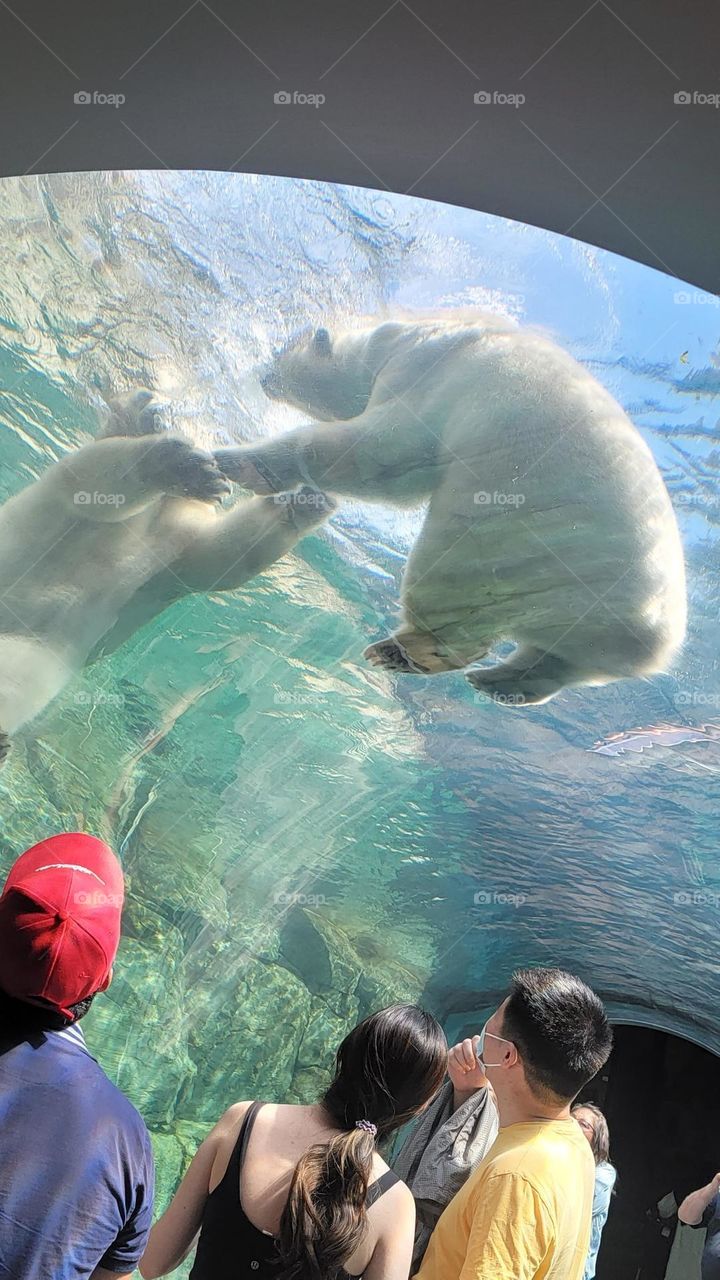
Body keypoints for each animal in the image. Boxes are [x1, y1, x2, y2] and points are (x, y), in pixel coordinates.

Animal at [215, 313, 687, 707]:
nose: (264, 374)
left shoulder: (427, 374)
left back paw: (405, 652)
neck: (396, 337)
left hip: (527, 555)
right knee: (561, 659)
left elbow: (380, 453)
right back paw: (502, 683)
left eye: (282, 350)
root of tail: (655, 639)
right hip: (589, 625)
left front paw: (240, 463)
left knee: (449, 589)